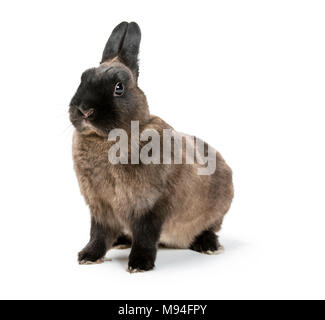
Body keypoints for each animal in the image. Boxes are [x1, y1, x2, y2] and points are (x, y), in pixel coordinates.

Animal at [69, 21, 233, 272]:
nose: (85, 110)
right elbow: (98, 234)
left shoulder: (151, 206)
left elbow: (145, 235)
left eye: (119, 88)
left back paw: (208, 245)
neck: (107, 139)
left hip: (217, 207)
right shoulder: (100, 207)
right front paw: (88, 256)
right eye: (82, 79)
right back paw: (120, 241)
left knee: (210, 228)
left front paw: (139, 264)